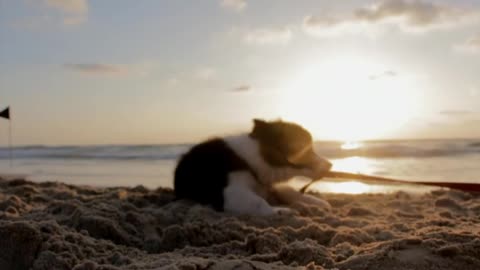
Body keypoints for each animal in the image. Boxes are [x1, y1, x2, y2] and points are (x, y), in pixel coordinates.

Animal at [173, 118, 334, 215]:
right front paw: (280, 211)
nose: (330, 164)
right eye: (307, 149)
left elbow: (290, 191)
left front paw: (315, 202)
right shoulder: (230, 192)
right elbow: (258, 202)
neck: (253, 158)